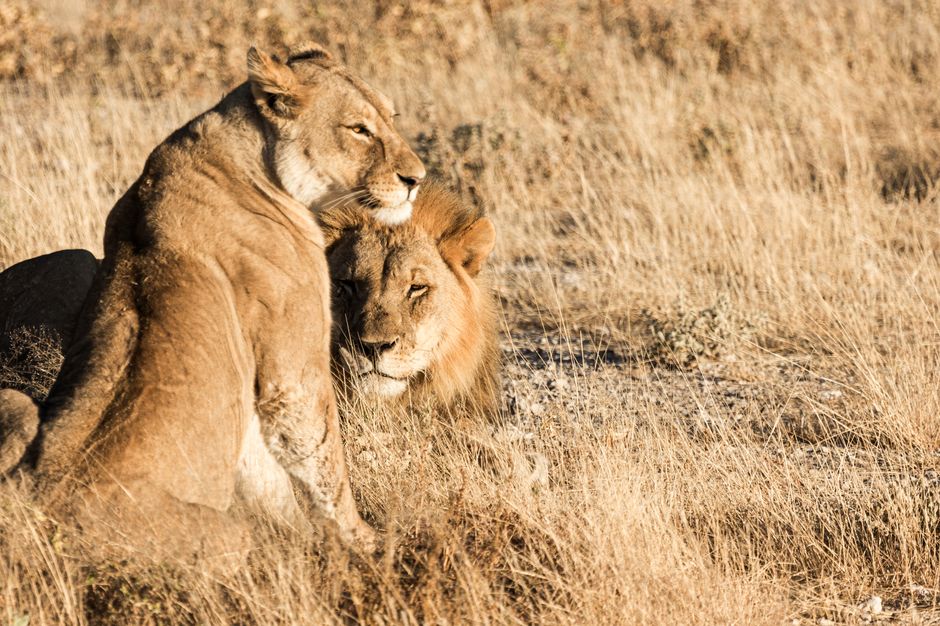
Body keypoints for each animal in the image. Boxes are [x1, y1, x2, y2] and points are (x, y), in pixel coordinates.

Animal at [0, 41, 426, 561]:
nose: (417, 179)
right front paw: (365, 542)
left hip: (15, 403)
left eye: (391, 117)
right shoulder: (291, 367)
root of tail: (37, 515)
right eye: (359, 129)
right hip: (230, 534)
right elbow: (320, 456)